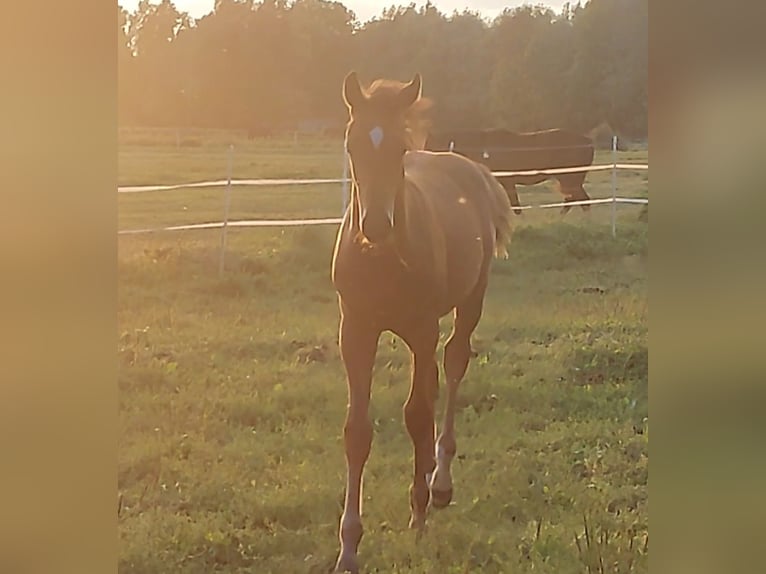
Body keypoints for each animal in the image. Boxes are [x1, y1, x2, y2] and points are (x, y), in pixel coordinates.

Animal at [332, 72, 516, 574]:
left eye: (398, 148)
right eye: (352, 145)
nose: (375, 225)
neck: (383, 259)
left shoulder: (420, 329)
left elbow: (416, 415)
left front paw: (417, 514)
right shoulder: (356, 331)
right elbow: (357, 432)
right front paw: (348, 547)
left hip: (468, 301)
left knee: (452, 367)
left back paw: (440, 483)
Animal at [426, 128, 600, 216]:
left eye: (430, 144)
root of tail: (589, 141)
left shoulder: (507, 182)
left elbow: (515, 207)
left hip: (570, 178)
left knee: (582, 201)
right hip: (570, 179)